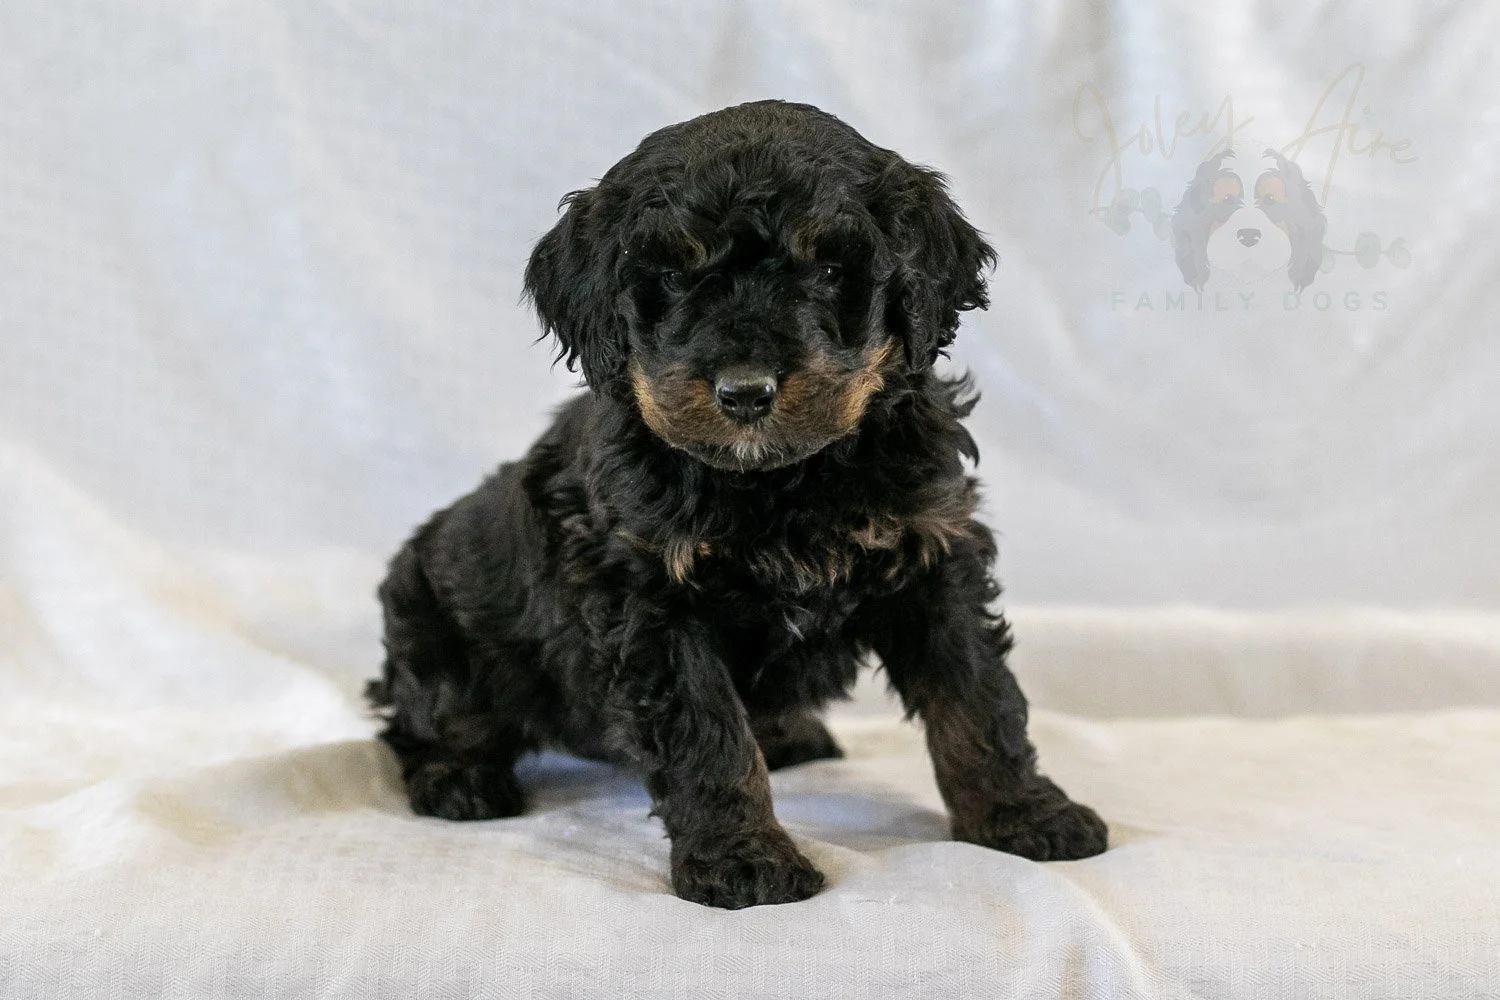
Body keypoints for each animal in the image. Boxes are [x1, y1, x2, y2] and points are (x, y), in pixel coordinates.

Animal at [367, 100, 1108, 909]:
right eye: (670, 275)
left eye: (828, 269)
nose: (746, 392)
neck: (783, 482)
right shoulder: (653, 598)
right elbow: (707, 732)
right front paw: (742, 858)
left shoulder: (930, 553)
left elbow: (975, 694)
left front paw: (1021, 813)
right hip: (435, 626)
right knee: (424, 718)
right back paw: (458, 778)